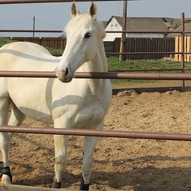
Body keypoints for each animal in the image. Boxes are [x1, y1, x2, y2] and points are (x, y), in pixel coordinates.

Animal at [0, 2, 112, 190]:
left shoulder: (95, 127)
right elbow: (60, 163)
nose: (62, 72)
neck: (90, 89)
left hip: (19, 109)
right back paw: (6, 177)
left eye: (87, 34)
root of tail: (6, 48)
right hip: (3, 102)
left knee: (9, 134)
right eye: (68, 34)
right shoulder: (61, 125)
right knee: (4, 140)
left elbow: (87, 164)